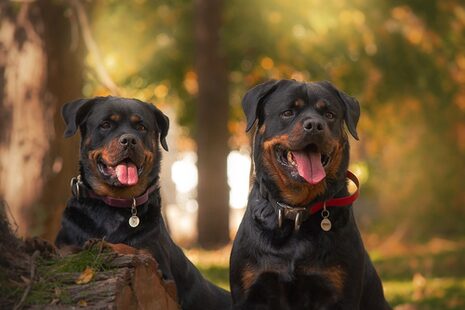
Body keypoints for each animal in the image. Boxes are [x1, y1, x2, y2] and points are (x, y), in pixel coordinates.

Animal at [56, 95, 230, 308]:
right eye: (105, 124)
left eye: (141, 127)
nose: (129, 140)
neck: (114, 204)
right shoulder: (63, 248)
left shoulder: (162, 274)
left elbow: (135, 250)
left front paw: (105, 244)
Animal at [230, 80, 390, 310]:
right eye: (288, 112)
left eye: (329, 115)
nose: (315, 125)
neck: (296, 211)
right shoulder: (250, 294)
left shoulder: (339, 294)